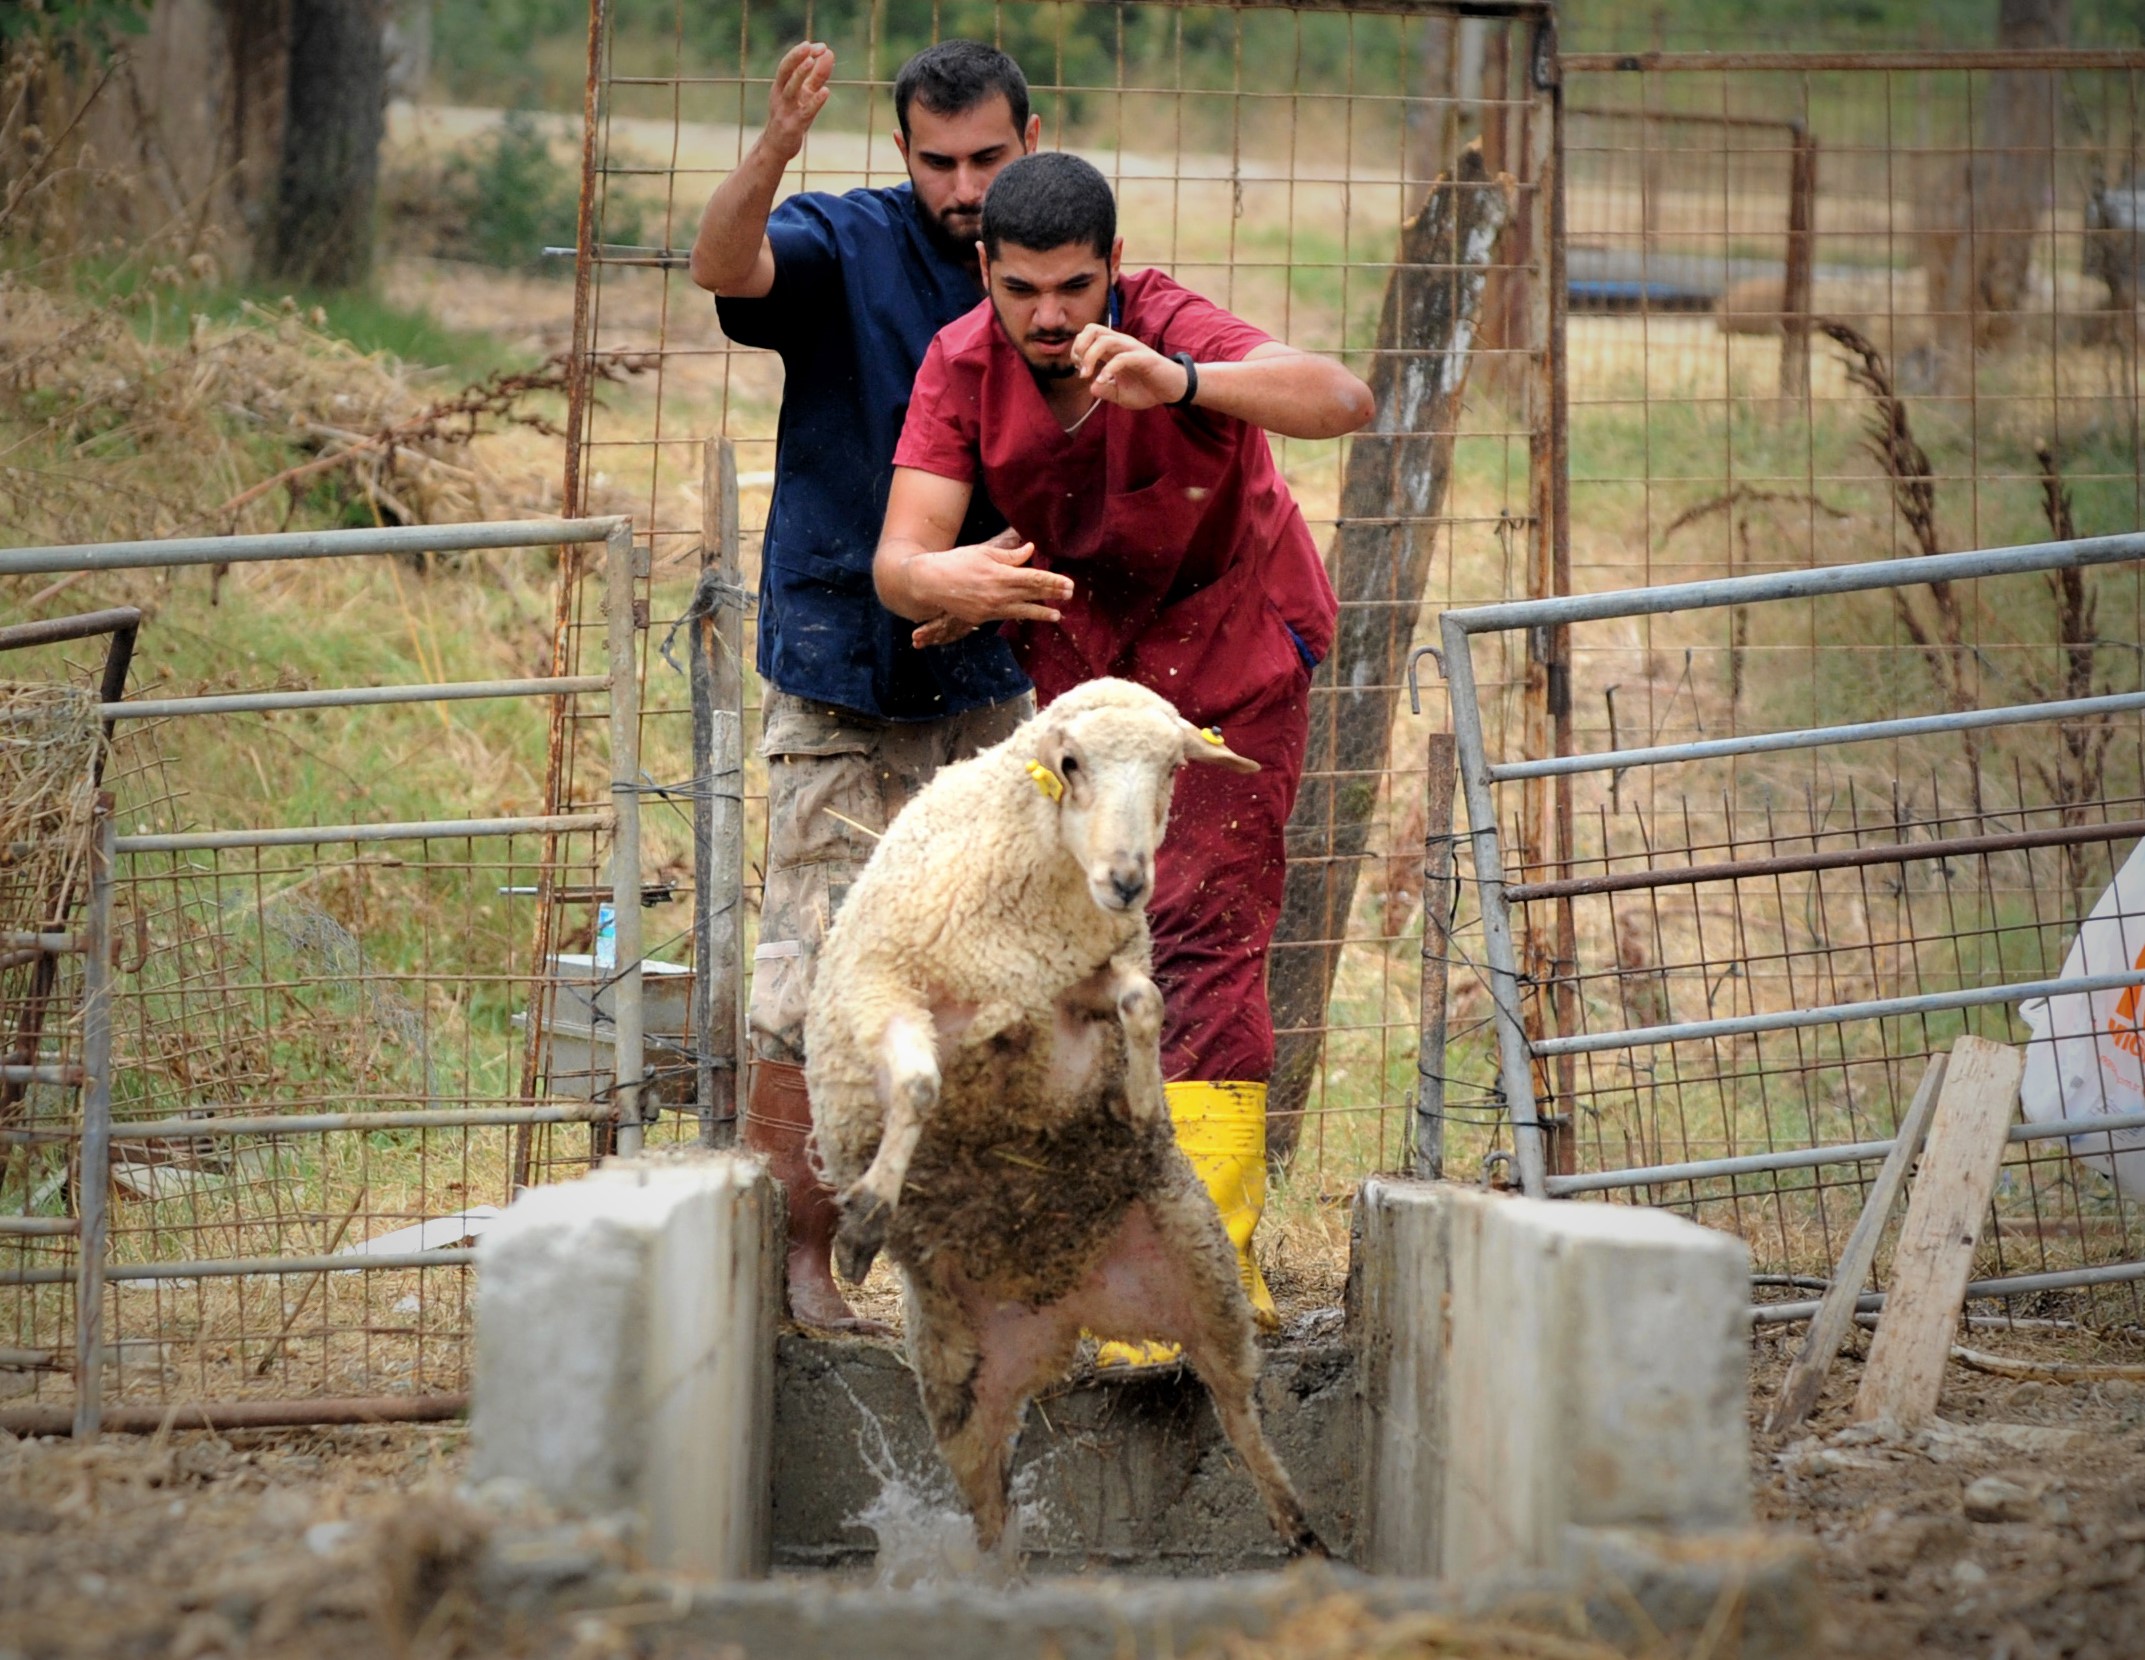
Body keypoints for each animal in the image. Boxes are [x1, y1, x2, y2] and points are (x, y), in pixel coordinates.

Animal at [806, 677, 1321, 1561]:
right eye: (1070, 763)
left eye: (1172, 769)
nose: (1128, 882)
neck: (1035, 915)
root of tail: (1063, 1307)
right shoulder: (889, 987)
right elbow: (919, 1086)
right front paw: (866, 1218)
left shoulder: (1077, 982)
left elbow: (1145, 1000)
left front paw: (1144, 1099)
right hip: (955, 1375)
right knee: (987, 1508)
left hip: (1205, 1277)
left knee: (1236, 1411)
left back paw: (1298, 1528)